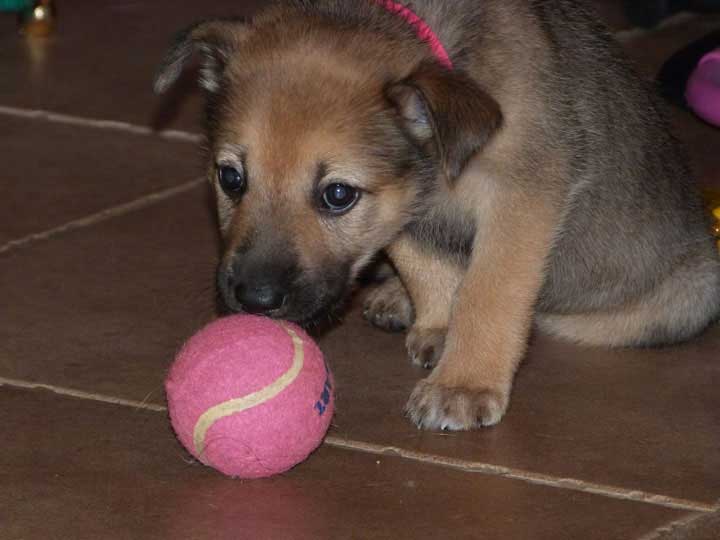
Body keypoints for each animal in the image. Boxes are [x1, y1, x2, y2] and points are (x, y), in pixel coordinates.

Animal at [156, 0, 720, 430]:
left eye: (337, 195)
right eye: (231, 178)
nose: (254, 300)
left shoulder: (523, 197)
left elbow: (489, 291)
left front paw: (464, 381)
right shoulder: (409, 193)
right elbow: (419, 258)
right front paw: (437, 322)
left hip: (680, 295)